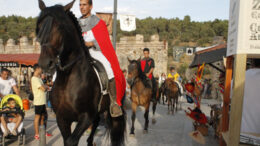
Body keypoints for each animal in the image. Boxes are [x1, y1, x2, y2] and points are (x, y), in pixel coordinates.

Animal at [36, 0, 125, 145]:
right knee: (95, 127)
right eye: (39, 27)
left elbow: (71, 141)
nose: (45, 63)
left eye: (59, 27)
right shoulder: (62, 118)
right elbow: (67, 140)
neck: (68, 78)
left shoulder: (86, 117)